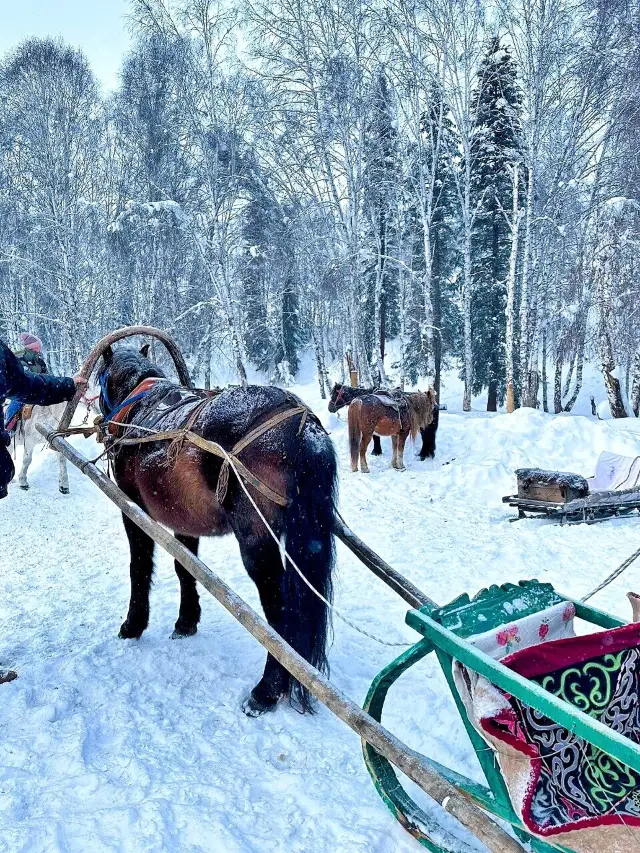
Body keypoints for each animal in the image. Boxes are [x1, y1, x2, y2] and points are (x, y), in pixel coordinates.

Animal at [97, 342, 338, 716]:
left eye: (99, 379)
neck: (139, 405)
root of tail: (301, 426)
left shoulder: (133, 510)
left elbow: (139, 567)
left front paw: (134, 624)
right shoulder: (183, 518)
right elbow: (185, 568)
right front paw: (186, 620)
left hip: (257, 543)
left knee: (281, 612)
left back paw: (267, 690)